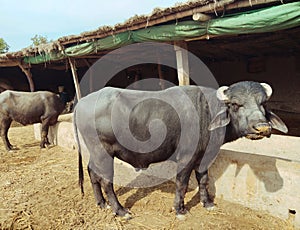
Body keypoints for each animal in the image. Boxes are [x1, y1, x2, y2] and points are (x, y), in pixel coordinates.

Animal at [74, 81, 288, 219]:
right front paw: (180, 210)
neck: (206, 112)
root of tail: (81, 103)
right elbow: (182, 183)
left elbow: (203, 180)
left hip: (96, 153)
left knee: (92, 172)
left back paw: (101, 203)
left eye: (263, 103)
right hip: (103, 153)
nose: (262, 127)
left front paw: (207, 203)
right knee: (106, 180)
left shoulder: (204, 157)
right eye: (235, 104)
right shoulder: (186, 158)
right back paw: (120, 211)